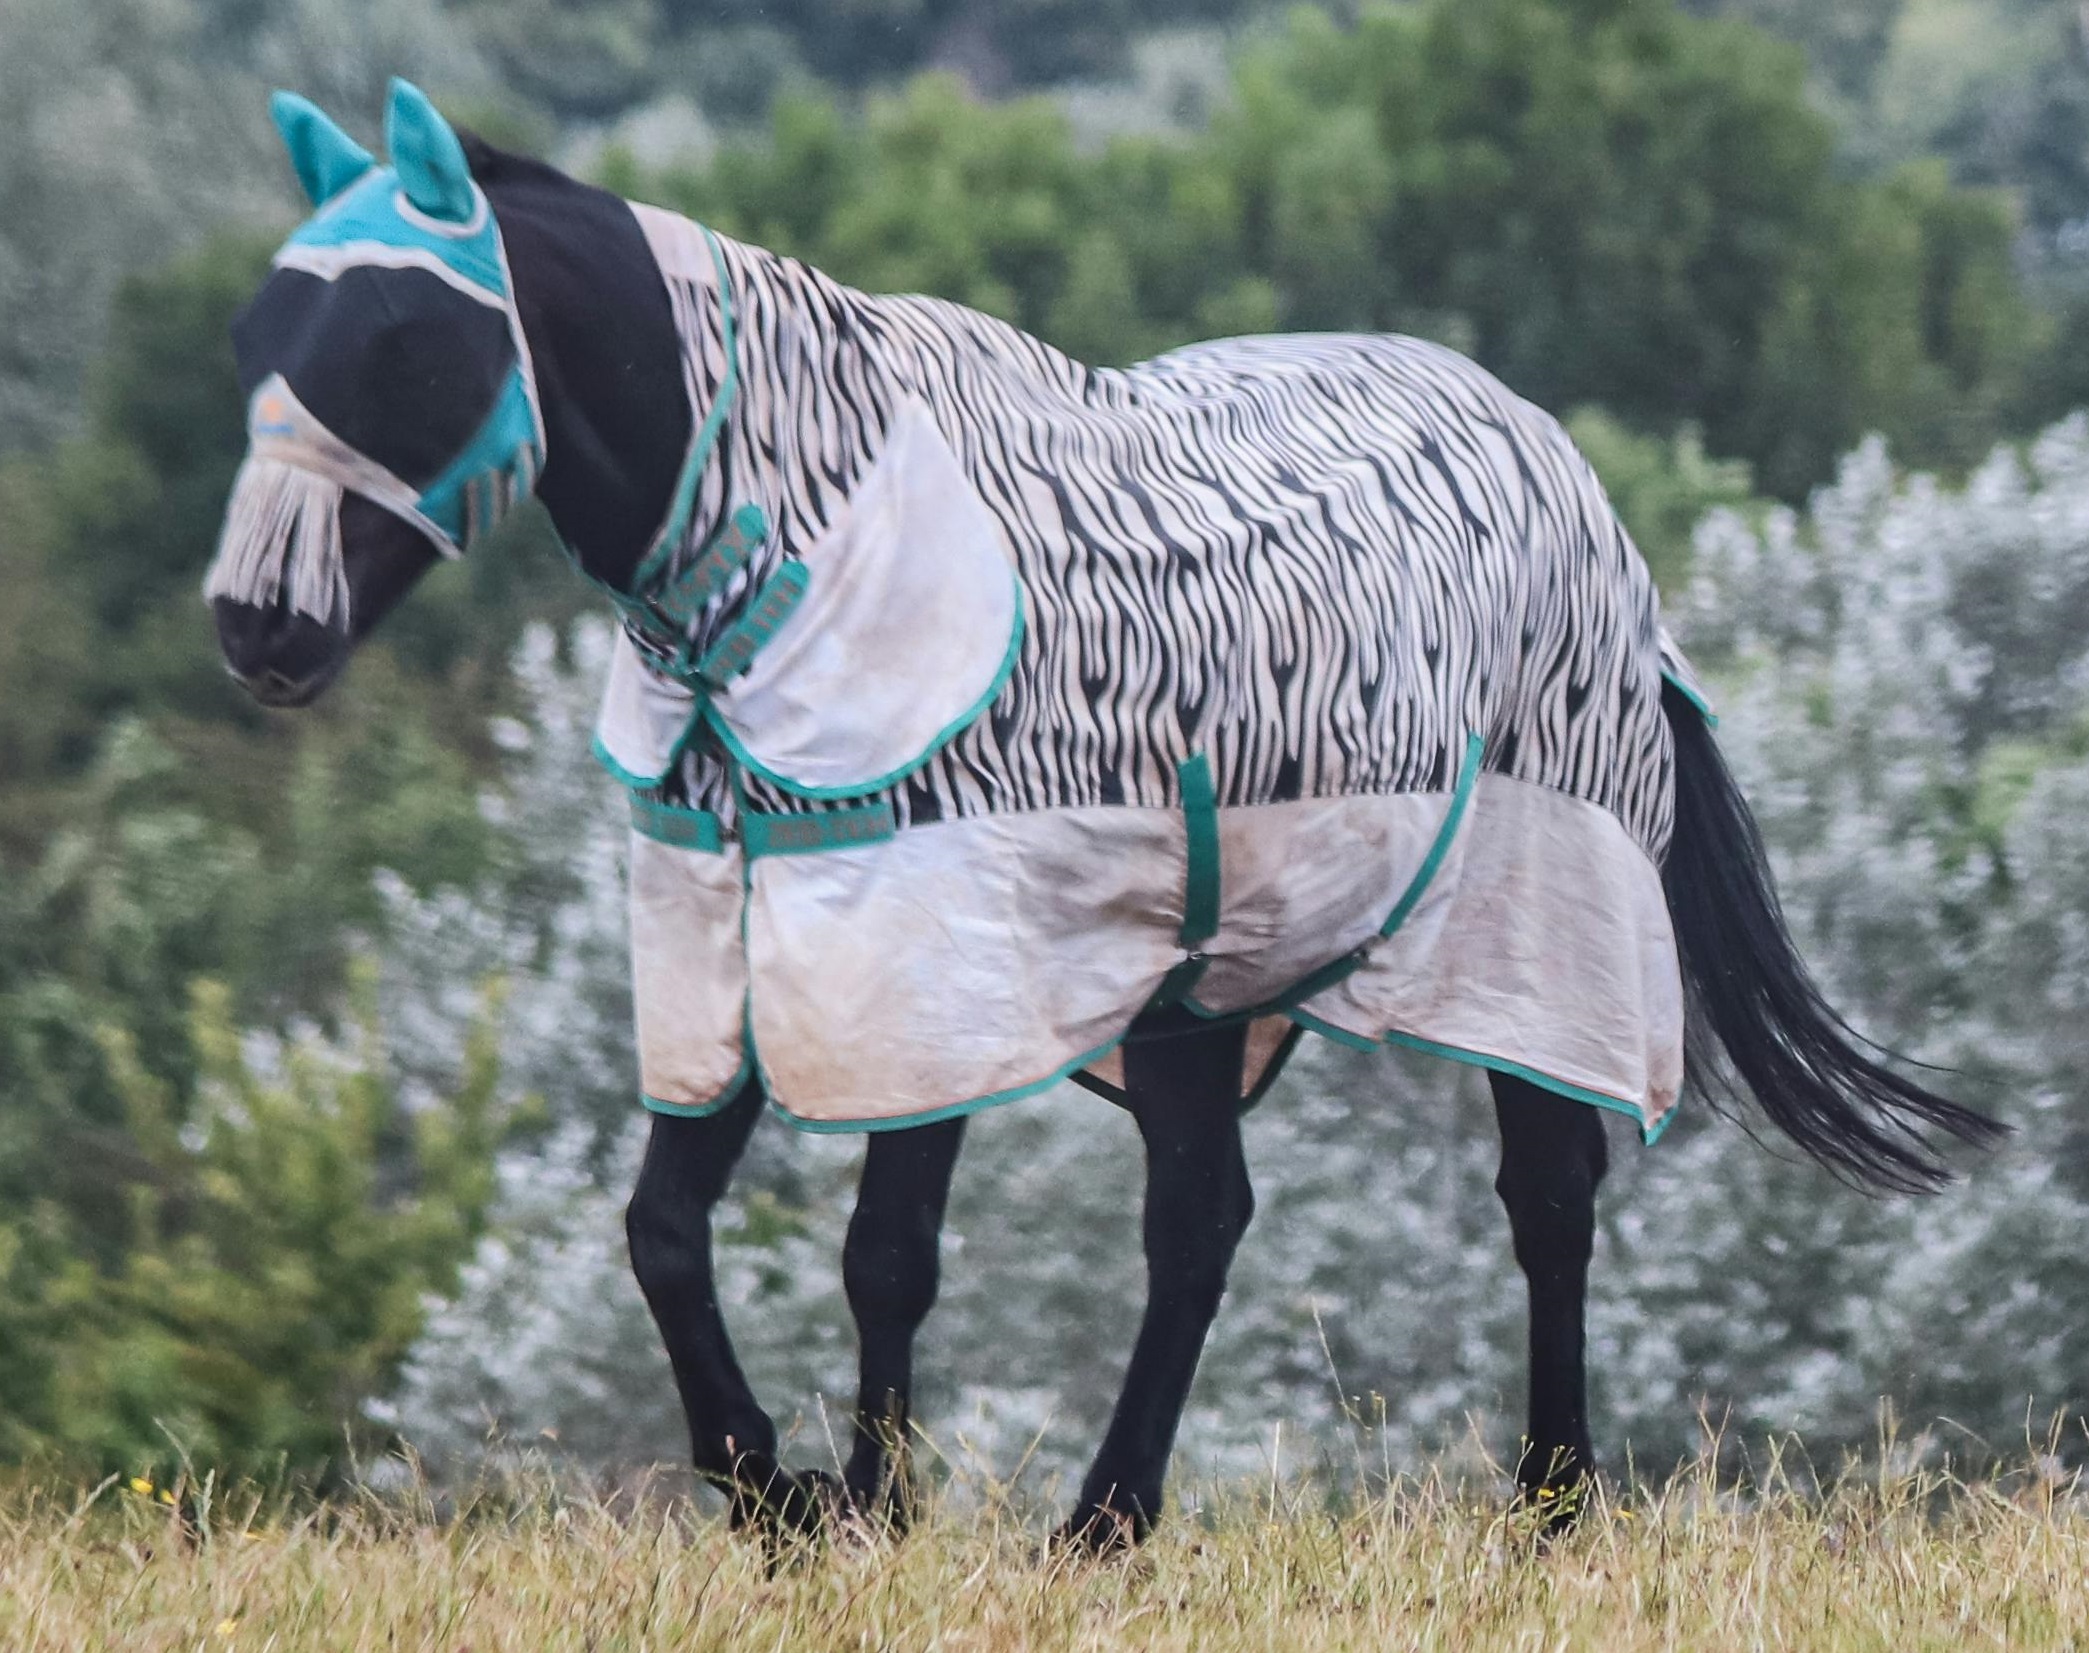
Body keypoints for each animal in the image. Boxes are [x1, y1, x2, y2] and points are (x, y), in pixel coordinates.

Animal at [206, 79, 2006, 1548]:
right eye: (255, 339)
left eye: (402, 343)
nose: (256, 625)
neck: (809, 546)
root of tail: (1575, 489)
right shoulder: (734, 934)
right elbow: (662, 1230)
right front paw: (779, 1491)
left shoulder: (926, 942)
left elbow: (884, 1251)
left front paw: (862, 1508)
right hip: (1198, 992)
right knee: (1200, 1223)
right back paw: (1108, 1517)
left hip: (1527, 931)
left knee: (1545, 1196)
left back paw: (1544, 1509)